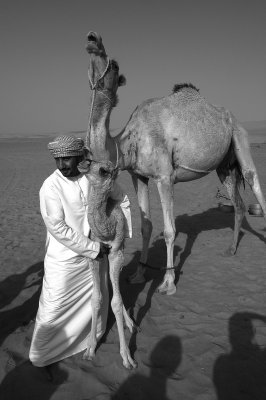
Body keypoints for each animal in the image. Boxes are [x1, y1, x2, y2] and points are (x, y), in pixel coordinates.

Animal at [77, 157, 137, 368]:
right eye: (90, 159)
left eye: (104, 170)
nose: (83, 162)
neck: (106, 227)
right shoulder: (95, 255)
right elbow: (96, 298)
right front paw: (89, 349)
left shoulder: (116, 253)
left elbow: (116, 302)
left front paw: (127, 358)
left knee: (116, 289)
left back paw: (131, 324)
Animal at [85, 31, 266, 296]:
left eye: (115, 65)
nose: (92, 39)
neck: (125, 141)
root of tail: (231, 116)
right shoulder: (138, 176)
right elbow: (146, 226)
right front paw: (139, 274)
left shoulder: (164, 177)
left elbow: (170, 231)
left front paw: (168, 283)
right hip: (224, 166)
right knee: (239, 204)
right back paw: (231, 249)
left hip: (239, 135)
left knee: (253, 178)